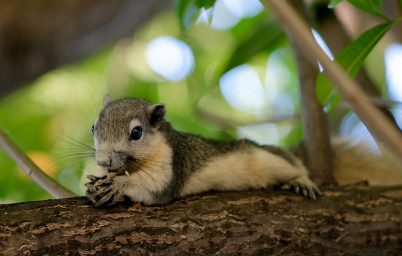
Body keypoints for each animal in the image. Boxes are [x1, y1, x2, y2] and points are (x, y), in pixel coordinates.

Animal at [85, 97, 320, 207]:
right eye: (93, 127)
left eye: (136, 132)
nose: (104, 161)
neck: (134, 164)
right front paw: (96, 187)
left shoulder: (172, 162)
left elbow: (155, 186)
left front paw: (118, 184)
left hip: (269, 160)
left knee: (294, 165)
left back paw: (302, 180)